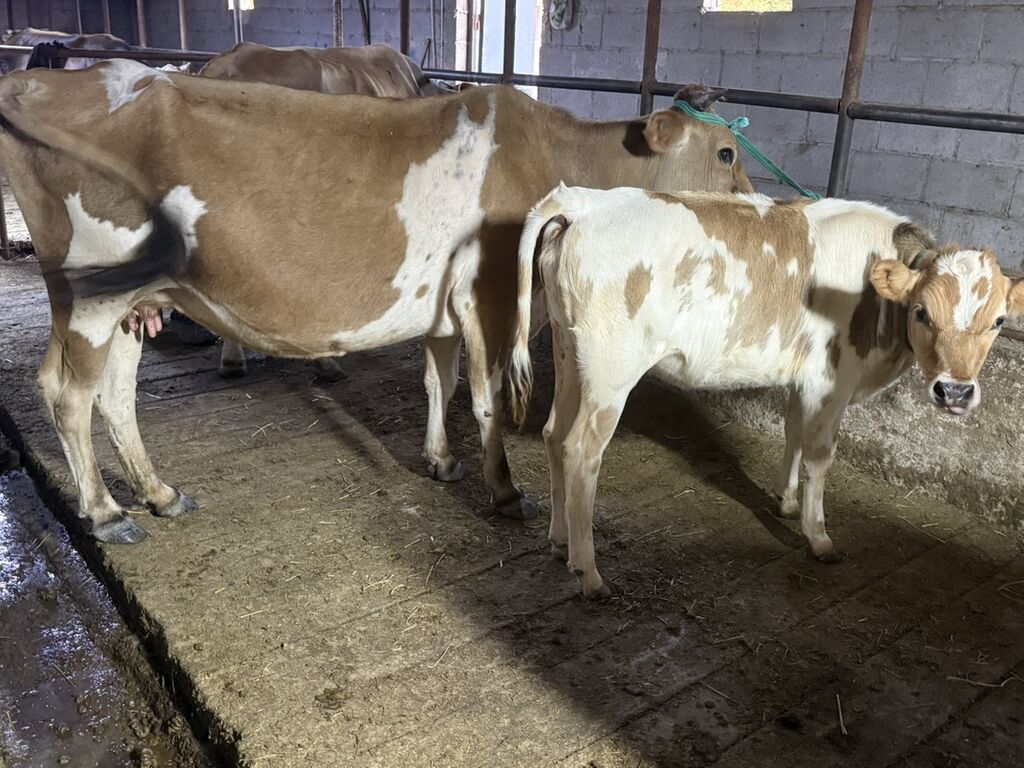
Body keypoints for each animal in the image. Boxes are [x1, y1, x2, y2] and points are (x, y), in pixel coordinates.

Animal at [509, 185, 1024, 598]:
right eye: (922, 312)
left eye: (999, 321)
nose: (954, 391)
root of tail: (583, 202)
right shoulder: (830, 381)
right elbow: (820, 456)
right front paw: (819, 538)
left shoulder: (804, 379)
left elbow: (793, 433)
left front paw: (788, 502)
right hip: (611, 371)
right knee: (582, 450)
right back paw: (589, 573)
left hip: (568, 351)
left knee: (554, 434)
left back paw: (559, 541)